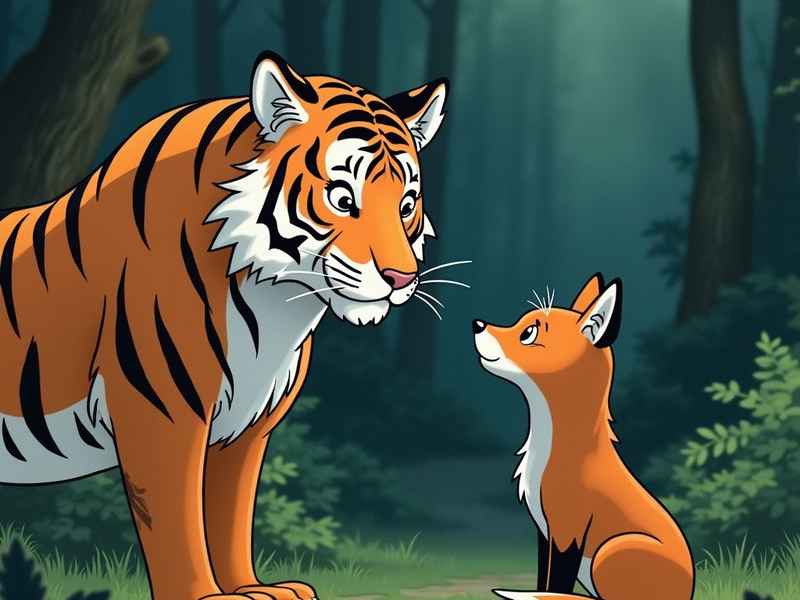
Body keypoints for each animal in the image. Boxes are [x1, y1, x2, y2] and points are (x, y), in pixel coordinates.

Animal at [0, 51, 448, 600]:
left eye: (406, 205)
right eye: (343, 199)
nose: (401, 278)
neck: (274, 300)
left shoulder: (247, 426)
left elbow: (231, 513)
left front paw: (254, 588)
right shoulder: (162, 412)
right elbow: (178, 516)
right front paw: (203, 596)